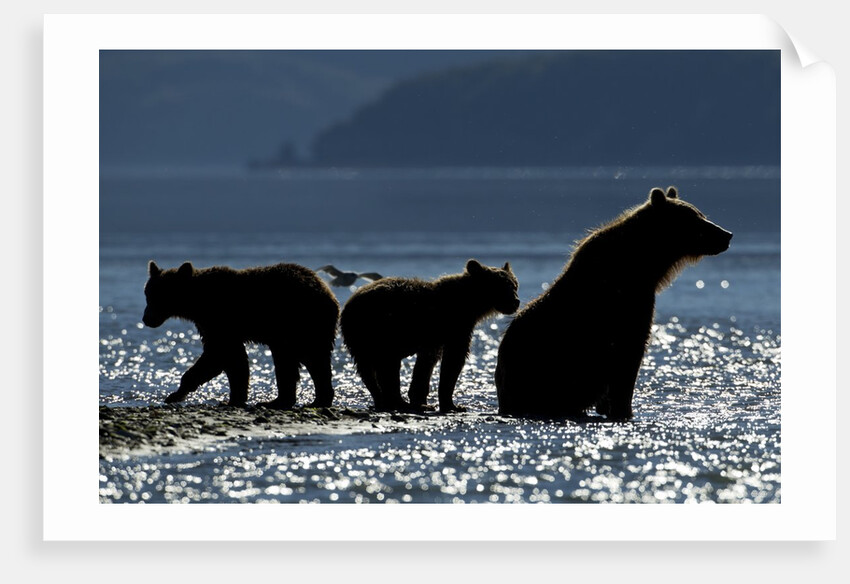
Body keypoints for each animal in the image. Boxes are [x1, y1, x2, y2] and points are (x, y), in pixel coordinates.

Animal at [142, 261, 339, 409]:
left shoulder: (220, 321)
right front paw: (236, 397)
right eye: (148, 294)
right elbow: (233, 360)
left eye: (160, 296)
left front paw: (175, 394)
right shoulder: (213, 325)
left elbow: (219, 354)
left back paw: (299, 401)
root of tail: (328, 292)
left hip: (300, 323)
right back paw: (291, 400)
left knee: (305, 358)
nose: (146, 319)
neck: (198, 302)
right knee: (300, 361)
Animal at [340, 259, 520, 413]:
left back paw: (382, 400)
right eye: (502, 285)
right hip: (381, 329)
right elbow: (453, 360)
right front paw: (453, 405)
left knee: (369, 369)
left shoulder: (436, 338)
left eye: (514, 285)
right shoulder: (454, 326)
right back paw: (396, 402)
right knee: (387, 364)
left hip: (361, 338)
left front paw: (421, 400)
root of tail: (348, 305)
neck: (470, 304)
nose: (516, 301)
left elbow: (427, 364)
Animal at [495, 186, 732, 420]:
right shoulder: (625, 303)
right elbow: (629, 356)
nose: (726, 234)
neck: (649, 265)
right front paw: (624, 409)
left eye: (701, 214)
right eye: (695, 218)